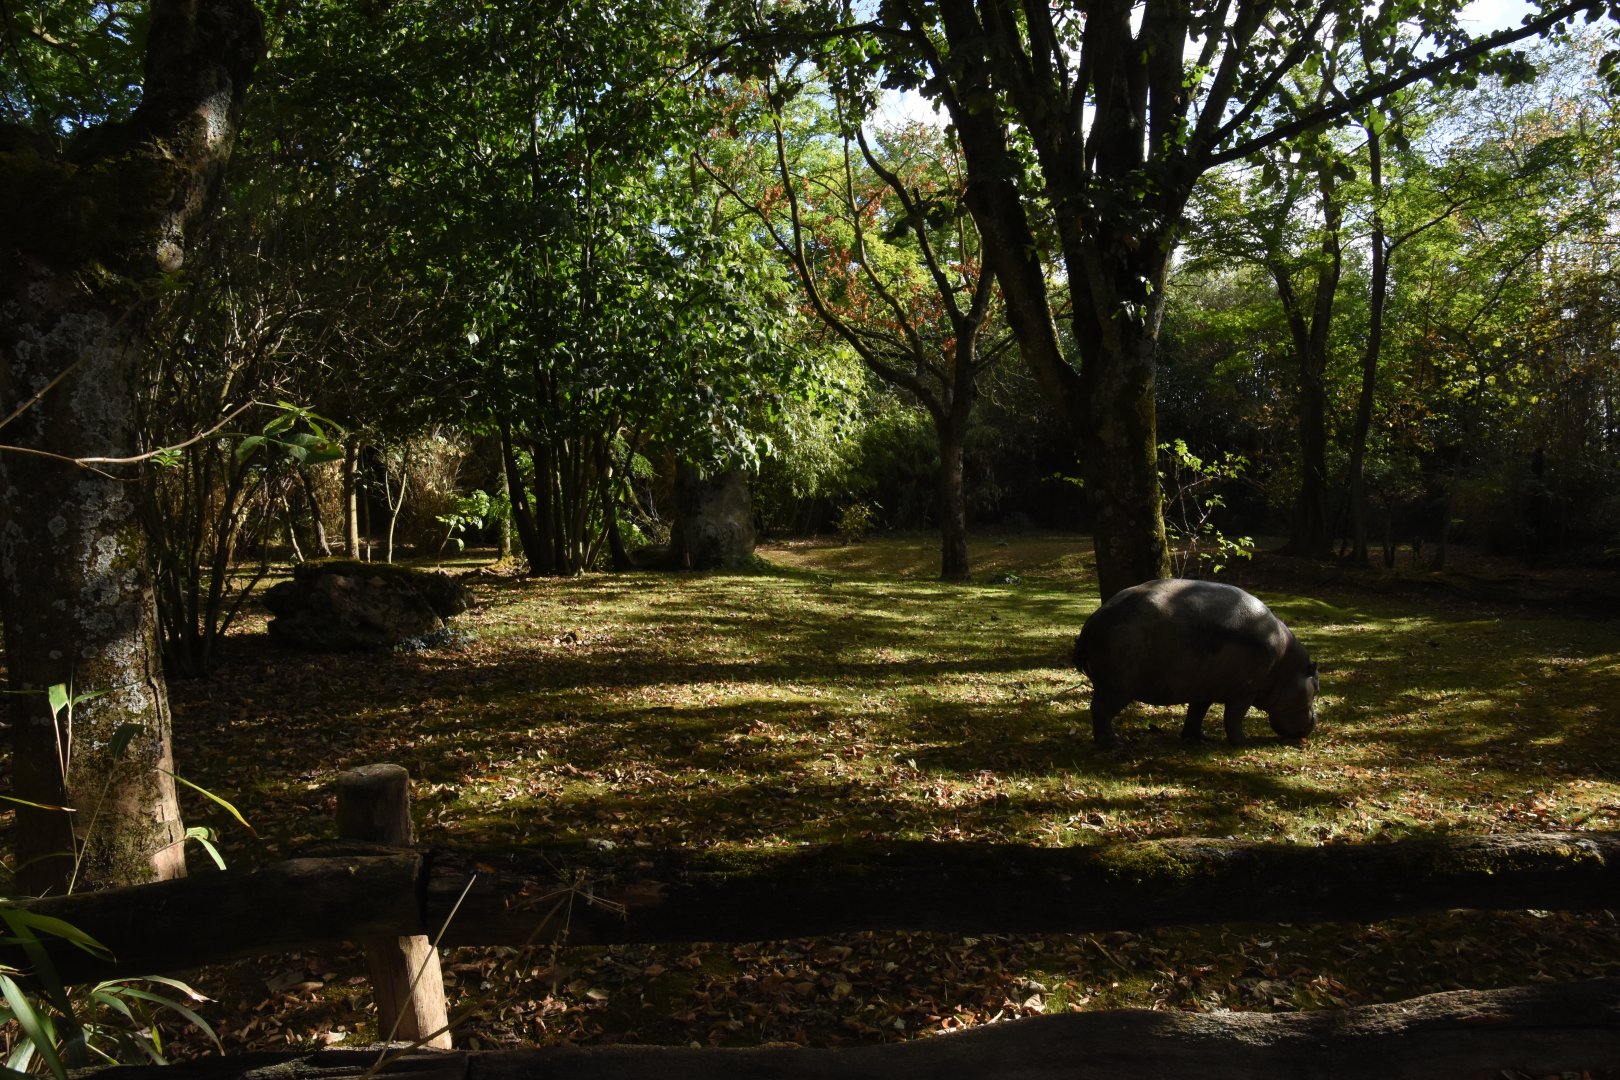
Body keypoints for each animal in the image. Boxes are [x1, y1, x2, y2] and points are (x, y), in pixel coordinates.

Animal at [1073, 579, 1318, 748]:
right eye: (1316, 689)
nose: (1314, 720)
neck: (1286, 669)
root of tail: (1092, 620)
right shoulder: (1244, 692)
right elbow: (1233, 718)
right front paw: (1242, 743)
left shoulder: (1205, 688)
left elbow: (1197, 712)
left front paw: (1199, 737)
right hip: (1118, 688)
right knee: (1100, 712)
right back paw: (1114, 743)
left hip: (1105, 685)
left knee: (1097, 710)